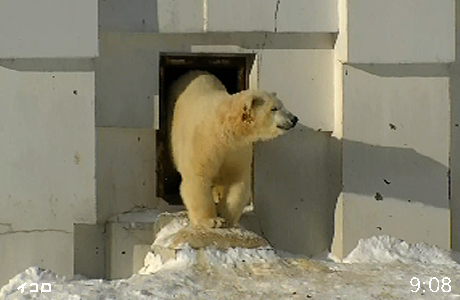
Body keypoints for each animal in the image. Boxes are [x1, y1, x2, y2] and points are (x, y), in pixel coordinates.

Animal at [169, 71, 298, 229]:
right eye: (274, 108)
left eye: (282, 105)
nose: (294, 119)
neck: (225, 127)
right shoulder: (203, 141)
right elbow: (199, 176)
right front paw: (212, 220)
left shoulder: (237, 149)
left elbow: (237, 179)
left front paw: (226, 217)